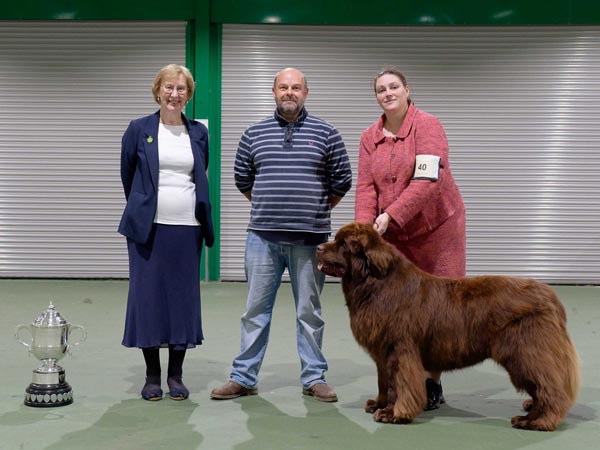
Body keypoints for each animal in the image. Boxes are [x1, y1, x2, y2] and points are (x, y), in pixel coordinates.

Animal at [316, 223, 580, 430]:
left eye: (342, 244)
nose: (318, 247)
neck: (375, 284)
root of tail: (551, 297)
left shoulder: (399, 349)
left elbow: (399, 384)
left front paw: (393, 413)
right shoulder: (382, 352)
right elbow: (384, 382)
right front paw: (378, 404)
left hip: (525, 353)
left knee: (550, 388)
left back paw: (535, 420)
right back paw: (531, 407)